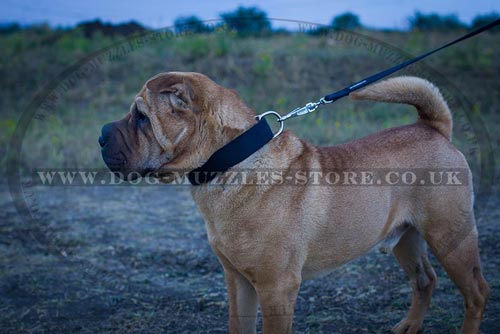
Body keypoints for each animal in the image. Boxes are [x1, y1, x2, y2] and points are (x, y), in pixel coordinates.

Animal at [99, 73, 490, 334]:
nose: (101, 135)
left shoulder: (277, 287)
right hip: (406, 239)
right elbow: (238, 326)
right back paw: (408, 326)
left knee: (476, 293)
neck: (232, 162)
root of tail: (433, 128)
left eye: (141, 116)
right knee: (425, 280)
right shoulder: (237, 280)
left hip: (451, 238)